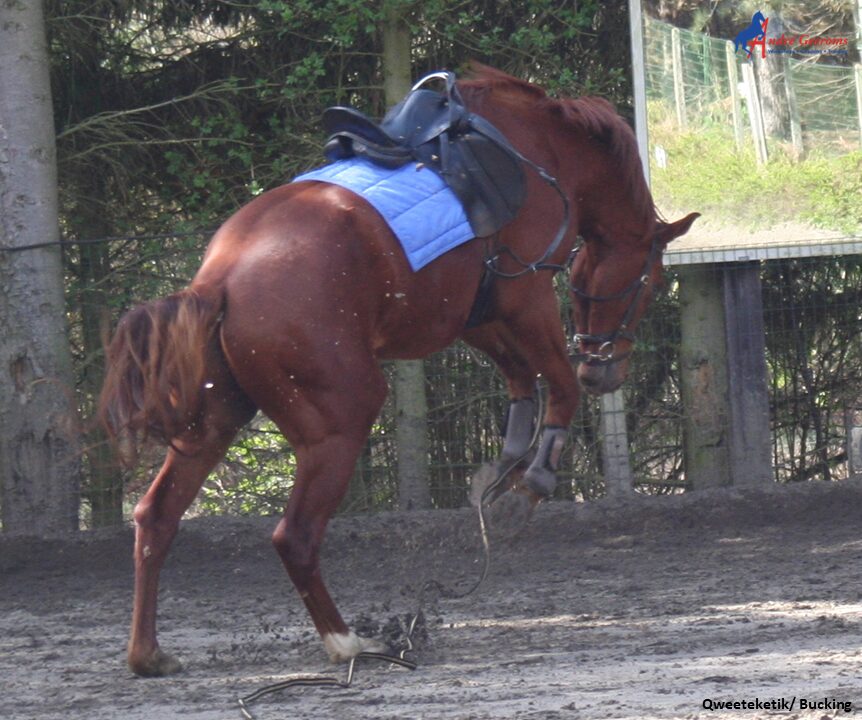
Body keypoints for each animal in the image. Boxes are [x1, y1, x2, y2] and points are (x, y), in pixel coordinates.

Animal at [98, 64, 700, 676]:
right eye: (652, 283)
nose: (606, 374)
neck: (541, 151)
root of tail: (219, 278)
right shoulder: (524, 298)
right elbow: (555, 385)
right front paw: (529, 485)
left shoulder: (472, 313)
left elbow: (519, 382)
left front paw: (502, 468)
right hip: (339, 423)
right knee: (295, 536)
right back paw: (347, 643)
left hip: (214, 422)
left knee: (156, 516)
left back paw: (148, 653)